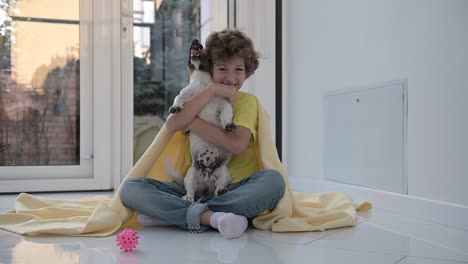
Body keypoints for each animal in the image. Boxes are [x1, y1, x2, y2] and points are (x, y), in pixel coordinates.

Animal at [166, 39, 236, 203]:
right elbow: (178, 97)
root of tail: (206, 185)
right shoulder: (185, 95)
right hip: (191, 174)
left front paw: (227, 124)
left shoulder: (223, 102)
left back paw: (221, 191)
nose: (195, 40)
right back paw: (188, 197)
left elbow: (227, 112)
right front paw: (176, 107)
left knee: (218, 188)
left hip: (224, 172)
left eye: (204, 47)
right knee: (191, 191)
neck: (202, 81)